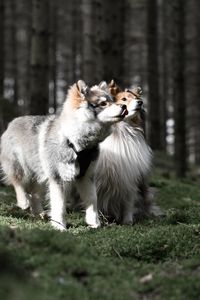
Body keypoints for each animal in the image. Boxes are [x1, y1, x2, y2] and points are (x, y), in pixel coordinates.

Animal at [0, 79, 128, 230]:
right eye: (103, 103)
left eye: (112, 101)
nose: (124, 106)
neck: (75, 142)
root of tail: (11, 124)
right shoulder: (58, 178)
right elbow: (60, 205)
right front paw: (60, 226)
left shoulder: (86, 177)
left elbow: (92, 201)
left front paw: (94, 223)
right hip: (21, 168)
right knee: (18, 183)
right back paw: (23, 202)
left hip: (41, 176)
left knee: (34, 194)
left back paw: (39, 213)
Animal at [95, 81, 161, 224]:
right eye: (124, 99)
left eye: (135, 97)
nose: (141, 102)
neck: (121, 131)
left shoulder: (130, 176)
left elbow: (128, 201)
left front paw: (128, 221)